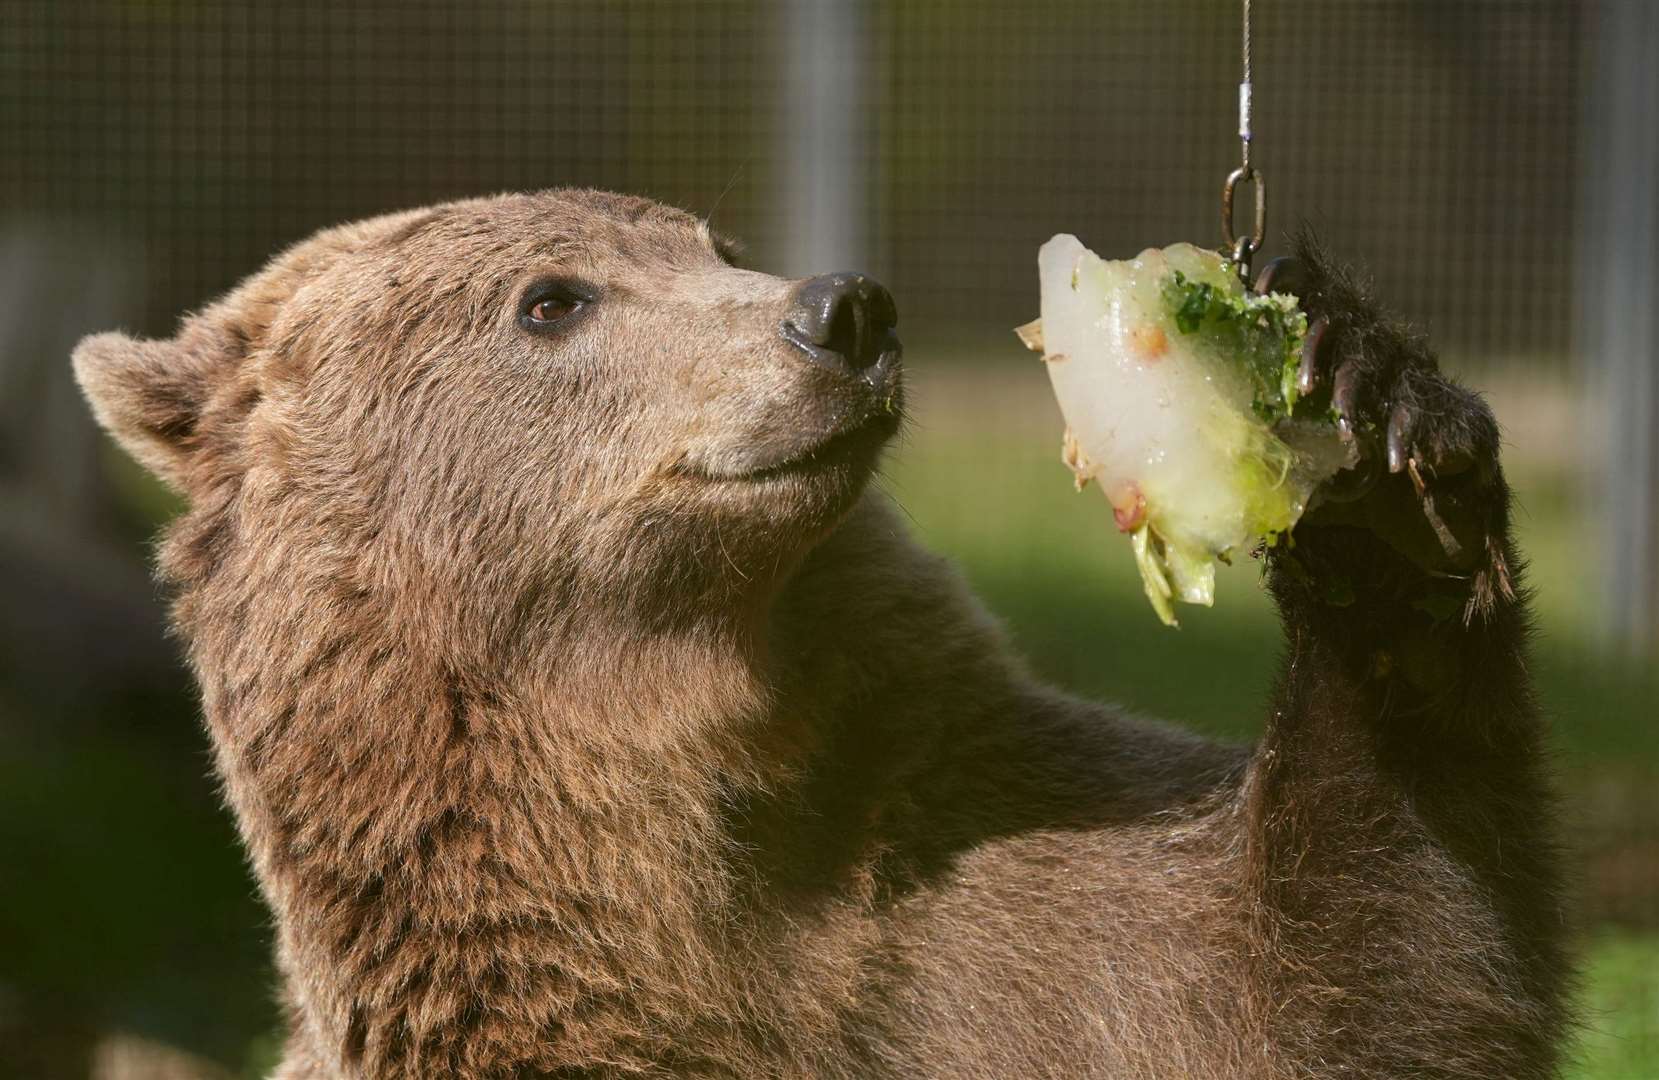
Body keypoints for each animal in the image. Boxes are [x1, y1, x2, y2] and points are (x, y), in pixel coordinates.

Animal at [74, 189, 1566, 1075]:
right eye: (552, 298)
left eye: (717, 246)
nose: (840, 309)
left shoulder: (992, 898)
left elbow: (1338, 987)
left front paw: (1371, 431)